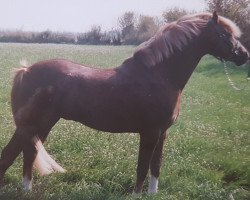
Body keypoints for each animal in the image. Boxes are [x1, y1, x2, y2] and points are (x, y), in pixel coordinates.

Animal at [0, 11, 248, 193]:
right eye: (225, 34)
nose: (244, 55)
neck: (158, 75)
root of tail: (25, 71)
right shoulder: (150, 133)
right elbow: (141, 169)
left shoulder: (163, 133)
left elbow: (156, 167)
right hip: (33, 125)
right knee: (12, 154)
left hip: (39, 127)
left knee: (26, 154)